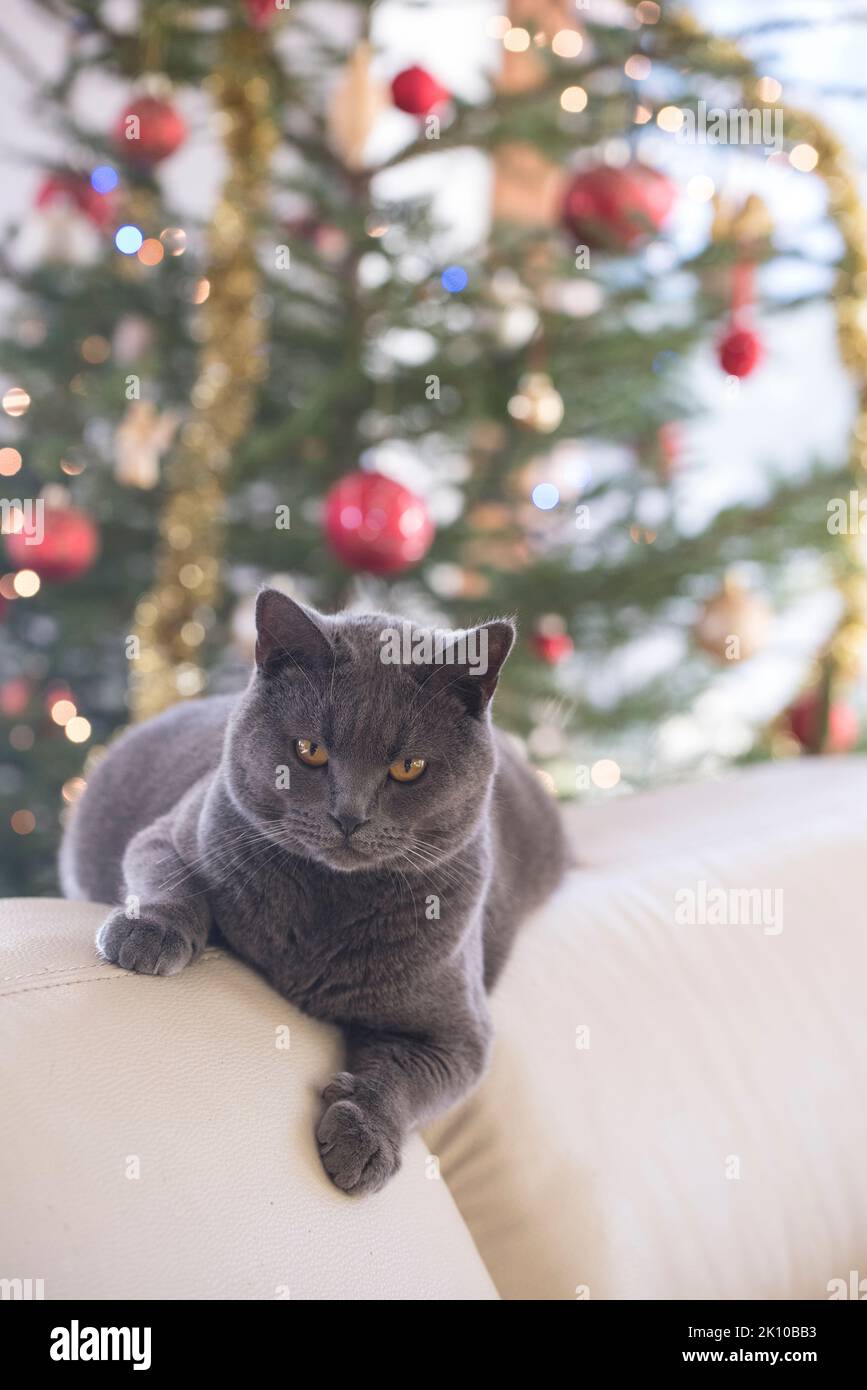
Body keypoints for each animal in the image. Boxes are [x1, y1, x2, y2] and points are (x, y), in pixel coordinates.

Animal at [59, 589, 569, 1195]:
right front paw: (149, 933)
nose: (348, 815)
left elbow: (410, 1077)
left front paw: (363, 1136)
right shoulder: (169, 829)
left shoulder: (460, 1034)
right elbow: (171, 877)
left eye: (409, 766)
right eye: (309, 750)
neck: (328, 903)